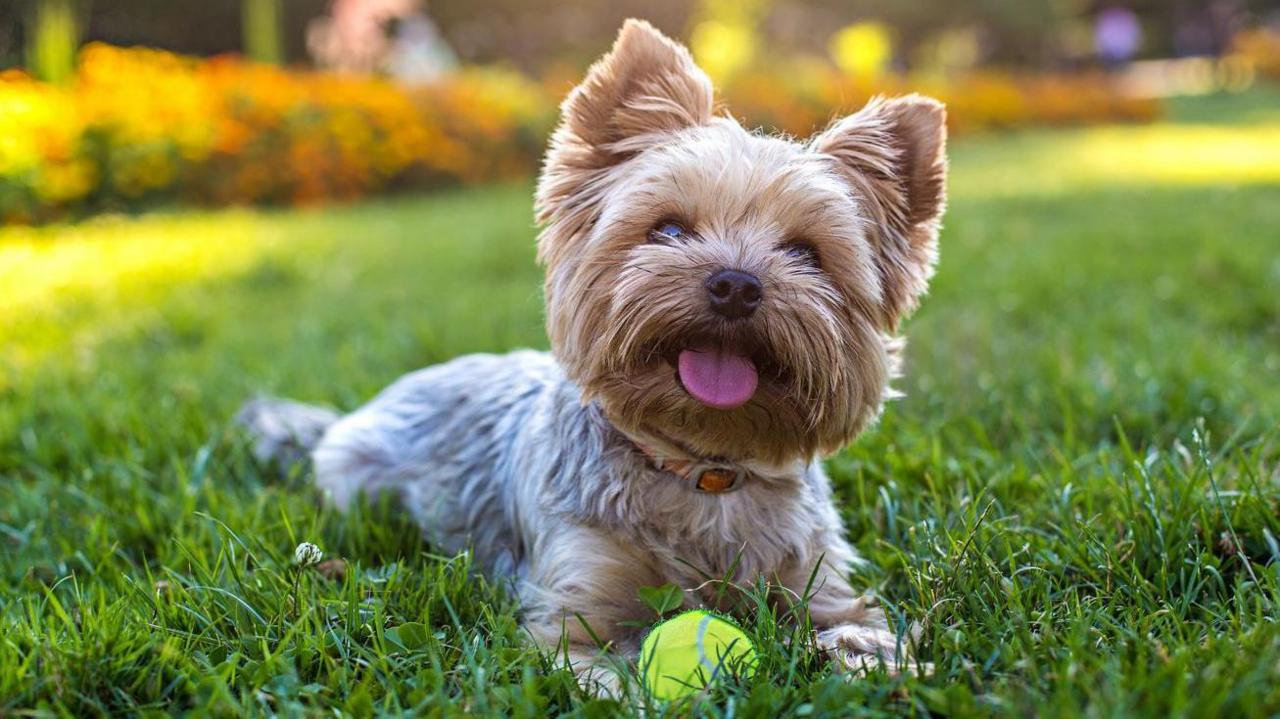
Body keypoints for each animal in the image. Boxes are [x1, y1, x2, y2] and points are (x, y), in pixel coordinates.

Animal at [238, 16, 952, 690]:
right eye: (668, 229)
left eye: (806, 253)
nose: (736, 284)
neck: (703, 471)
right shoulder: (573, 609)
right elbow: (600, 669)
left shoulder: (820, 581)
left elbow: (856, 627)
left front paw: (878, 666)